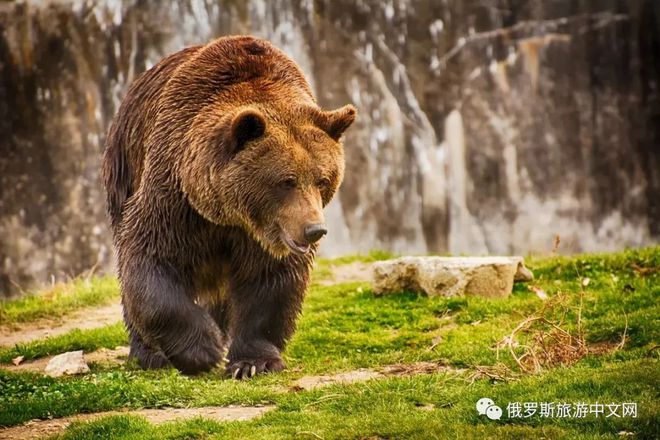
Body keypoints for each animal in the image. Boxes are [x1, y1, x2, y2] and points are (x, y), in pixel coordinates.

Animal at [102, 36, 356, 376]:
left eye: (322, 179)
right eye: (287, 181)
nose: (314, 230)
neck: (228, 214)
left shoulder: (265, 234)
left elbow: (270, 281)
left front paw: (252, 362)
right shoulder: (174, 196)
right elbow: (150, 259)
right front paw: (202, 349)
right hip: (124, 167)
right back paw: (149, 353)